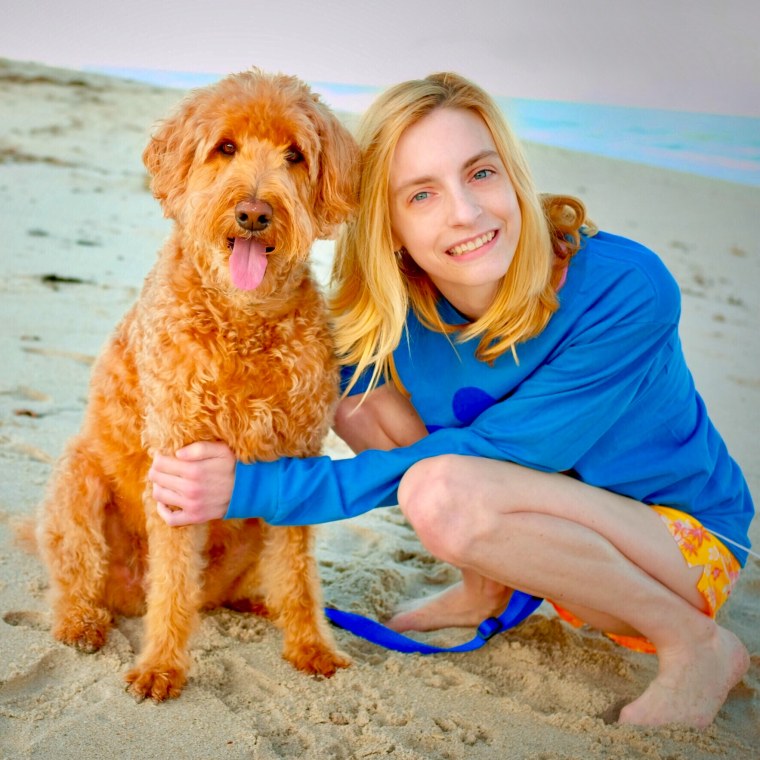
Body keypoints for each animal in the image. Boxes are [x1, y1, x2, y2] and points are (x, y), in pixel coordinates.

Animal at [34, 70, 358, 700]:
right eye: (225, 147)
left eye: (294, 155)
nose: (254, 213)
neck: (243, 319)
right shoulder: (178, 459)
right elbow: (173, 583)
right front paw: (162, 665)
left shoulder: (300, 455)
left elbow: (300, 574)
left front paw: (311, 646)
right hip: (76, 481)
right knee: (79, 573)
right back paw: (82, 621)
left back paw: (258, 603)